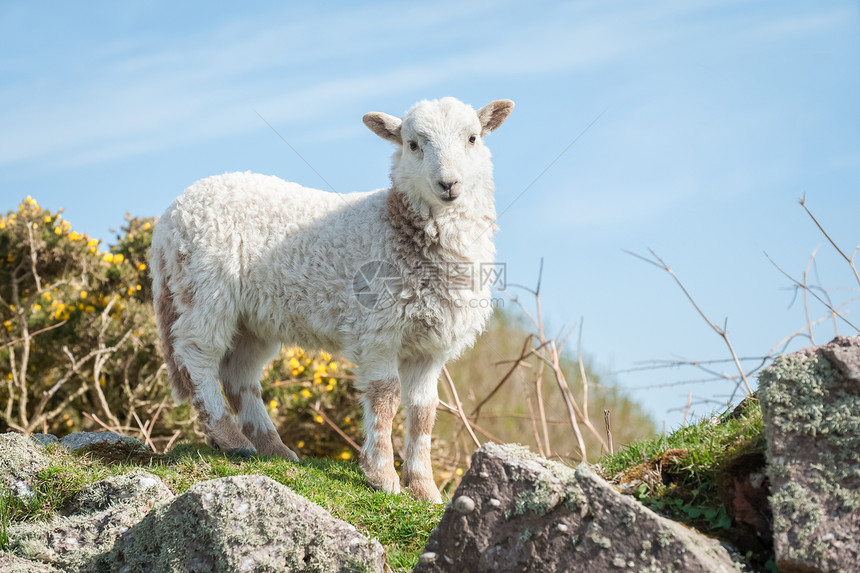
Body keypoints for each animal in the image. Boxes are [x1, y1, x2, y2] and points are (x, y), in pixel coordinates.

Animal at [149, 97, 510, 500]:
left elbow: (424, 410)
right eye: (413, 144)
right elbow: (385, 398)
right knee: (197, 355)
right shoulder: (378, 329)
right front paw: (383, 476)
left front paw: (424, 489)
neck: (397, 226)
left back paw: (272, 447)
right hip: (205, 288)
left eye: (473, 138)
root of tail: (171, 217)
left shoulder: (430, 344)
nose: (448, 184)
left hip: (251, 317)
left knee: (238, 373)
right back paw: (229, 437)